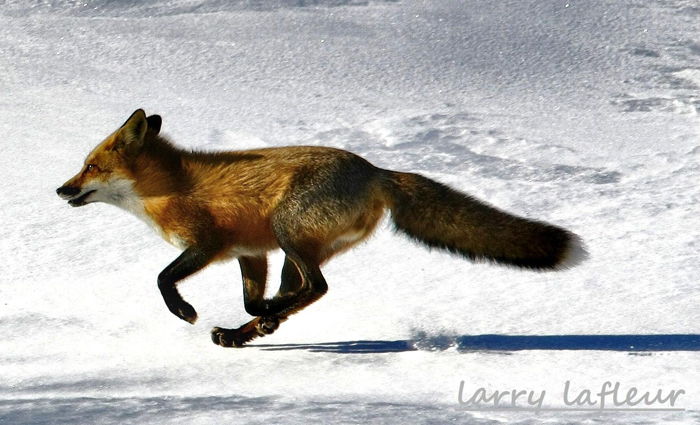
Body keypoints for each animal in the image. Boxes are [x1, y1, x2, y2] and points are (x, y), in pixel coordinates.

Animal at [57, 109, 587, 347]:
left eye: (89, 166)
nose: (61, 190)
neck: (171, 186)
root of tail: (375, 170)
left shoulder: (208, 243)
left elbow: (163, 278)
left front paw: (185, 311)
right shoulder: (251, 252)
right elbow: (249, 296)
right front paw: (259, 318)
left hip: (288, 231)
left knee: (318, 286)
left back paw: (261, 321)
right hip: (294, 248)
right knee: (303, 291)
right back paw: (250, 329)